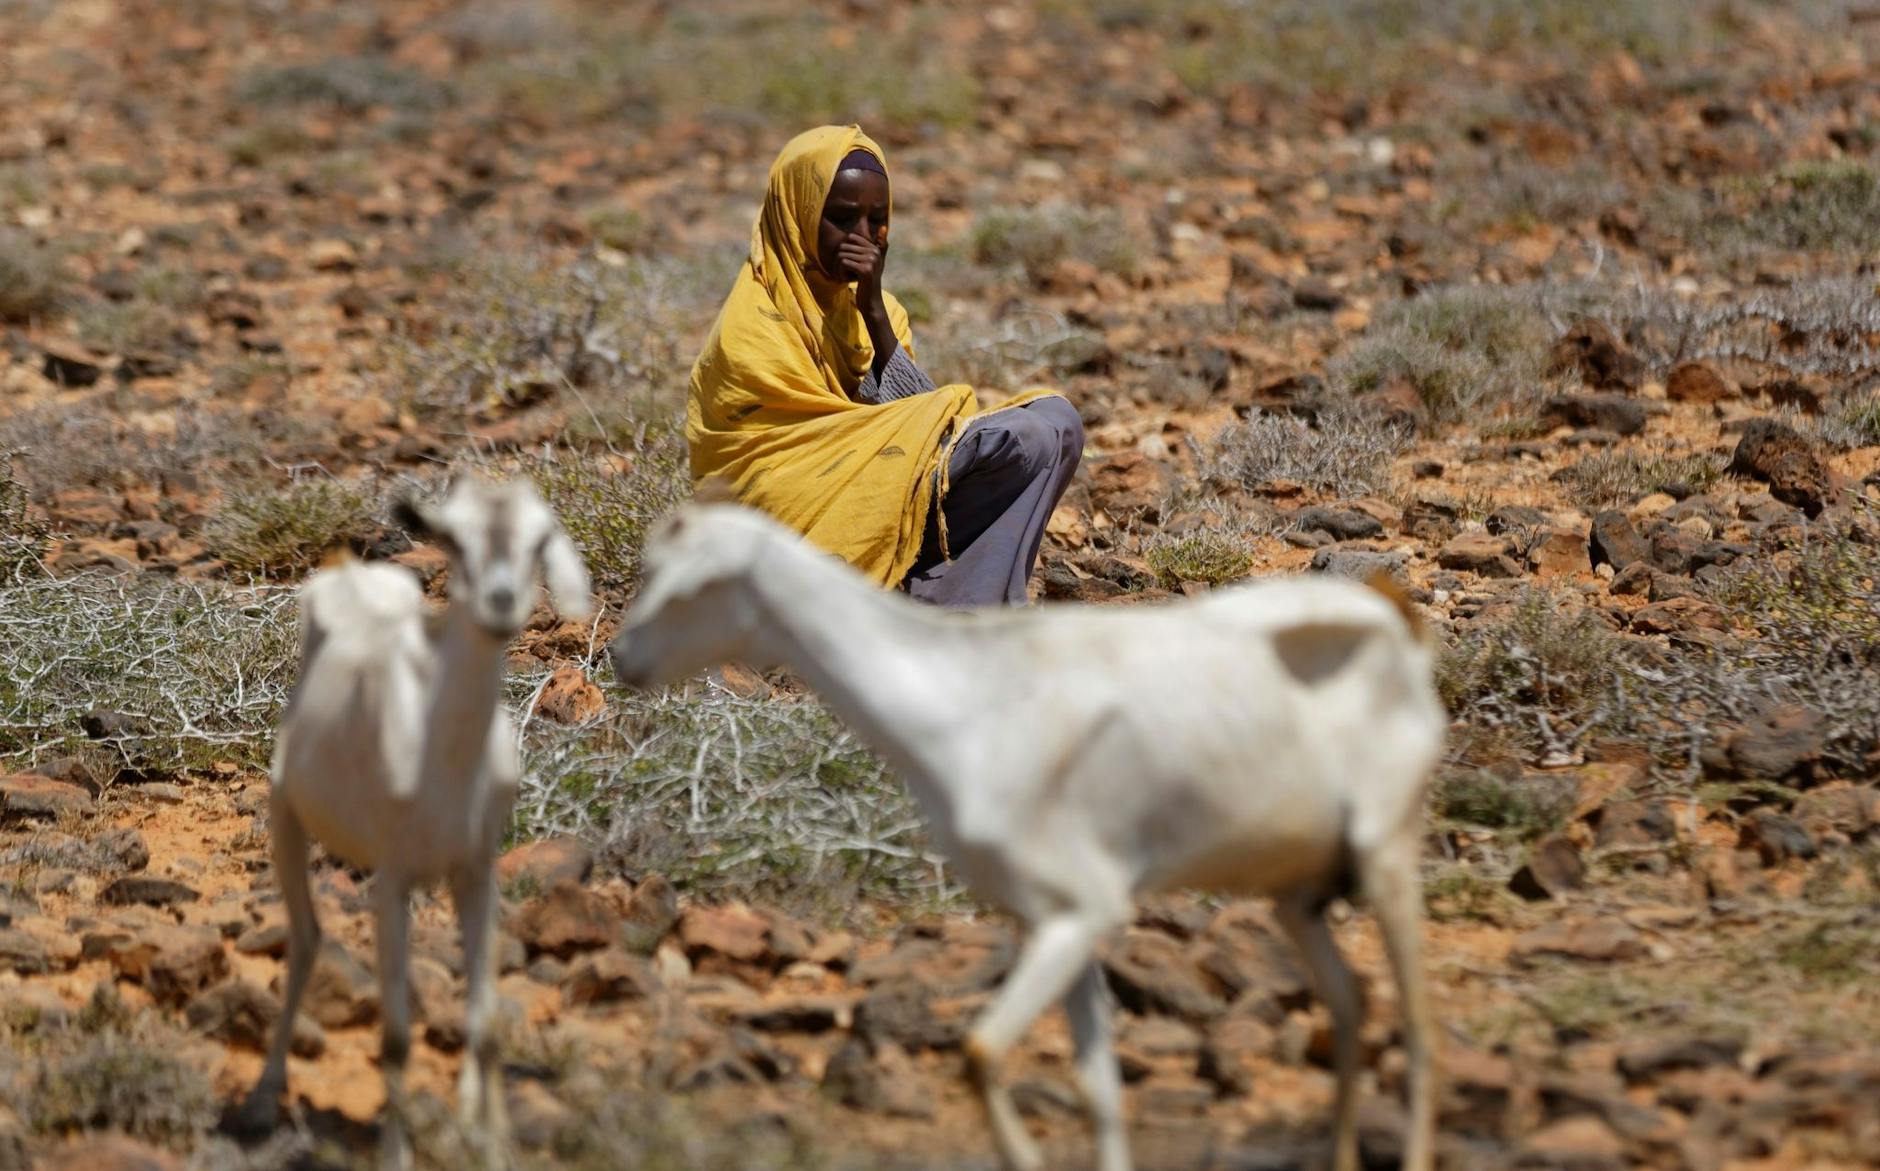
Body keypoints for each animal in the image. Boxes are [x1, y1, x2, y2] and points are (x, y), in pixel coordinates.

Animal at [231, 476, 592, 1171]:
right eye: (453, 538)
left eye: (539, 539)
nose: (500, 601)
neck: (439, 757)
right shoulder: (391, 882)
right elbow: (395, 1038)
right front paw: (397, 1155)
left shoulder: (477, 873)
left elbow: (485, 1026)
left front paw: (493, 1147)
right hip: (286, 820)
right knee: (307, 938)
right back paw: (261, 1100)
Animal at [608, 503, 1443, 1171]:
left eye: (691, 585)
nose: (623, 657)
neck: (969, 699)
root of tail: (1396, 628)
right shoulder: (1047, 920)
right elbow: (1096, 1085)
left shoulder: (1084, 912)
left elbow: (980, 1052)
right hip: (1297, 894)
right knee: (1350, 998)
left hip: (1388, 853)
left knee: (1415, 1021)